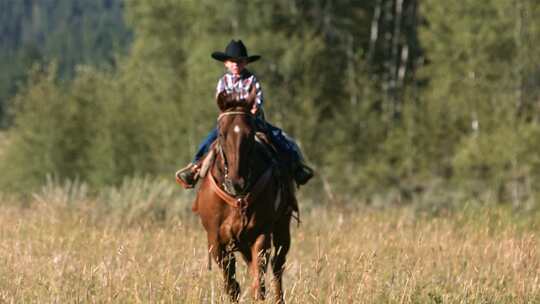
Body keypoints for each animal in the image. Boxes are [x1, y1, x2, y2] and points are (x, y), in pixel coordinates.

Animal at [192, 89, 296, 302]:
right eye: (221, 134)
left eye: (250, 134)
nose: (236, 182)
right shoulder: (216, 241)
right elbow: (232, 286)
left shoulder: (261, 234)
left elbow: (259, 283)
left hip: (282, 226)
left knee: (277, 265)